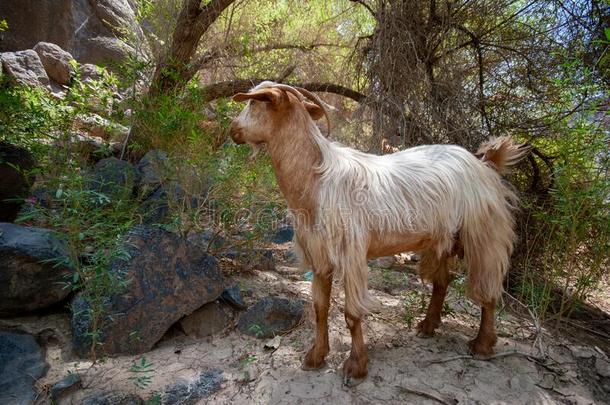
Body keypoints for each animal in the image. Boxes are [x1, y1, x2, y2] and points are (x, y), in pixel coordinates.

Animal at [228, 80, 528, 384]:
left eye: (254, 102)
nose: (232, 130)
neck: (317, 180)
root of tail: (485, 164)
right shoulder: (319, 254)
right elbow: (320, 308)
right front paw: (316, 356)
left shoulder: (351, 254)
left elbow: (351, 315)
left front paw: (356, 366)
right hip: (441, 238)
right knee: (442, 281)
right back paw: (428, 325)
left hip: (482, 234)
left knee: (488, 288)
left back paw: (482, 344)